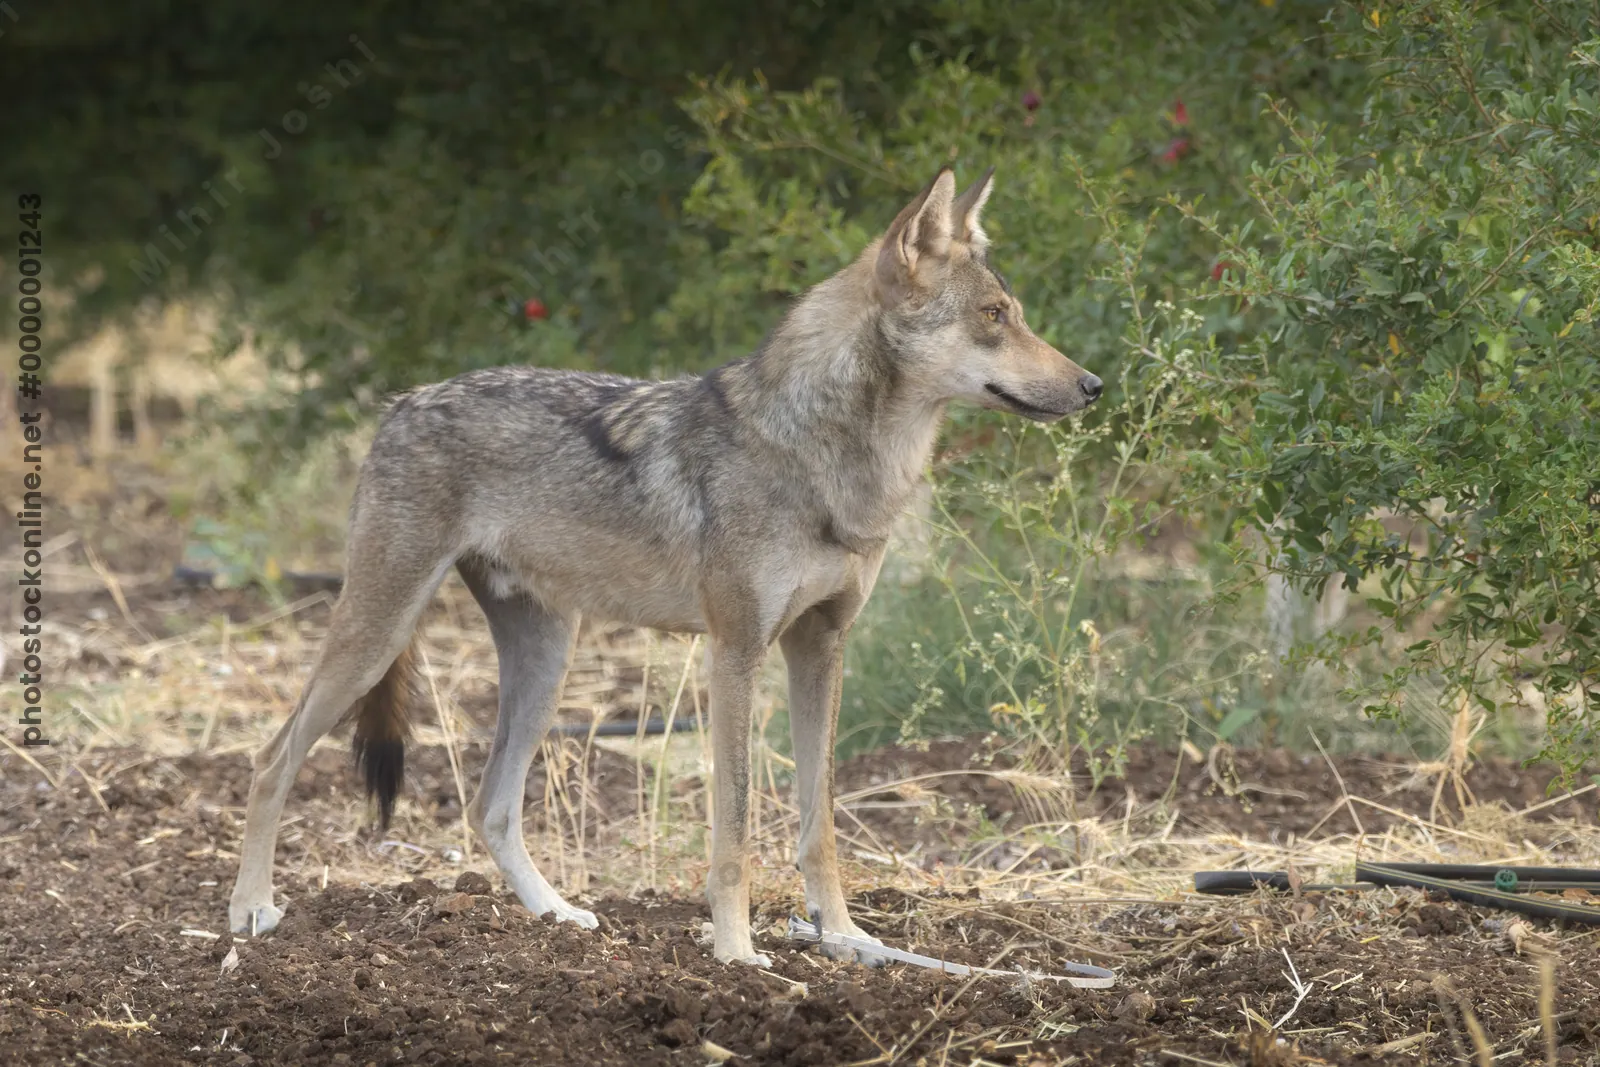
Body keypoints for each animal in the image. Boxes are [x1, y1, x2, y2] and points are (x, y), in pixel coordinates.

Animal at [227, 167, 1102, 965]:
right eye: (995, 317)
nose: (1093, 384)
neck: (826, 459)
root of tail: (399, 404)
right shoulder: (737, 651)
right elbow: (736, 826)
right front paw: (738, 953)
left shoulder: (821, 645)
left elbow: (818, 824)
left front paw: (848, 939)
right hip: (380, 632)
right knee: (272, 759)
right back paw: (251, 912)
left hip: (547, 660)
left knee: (489, 807)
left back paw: (557, 916)